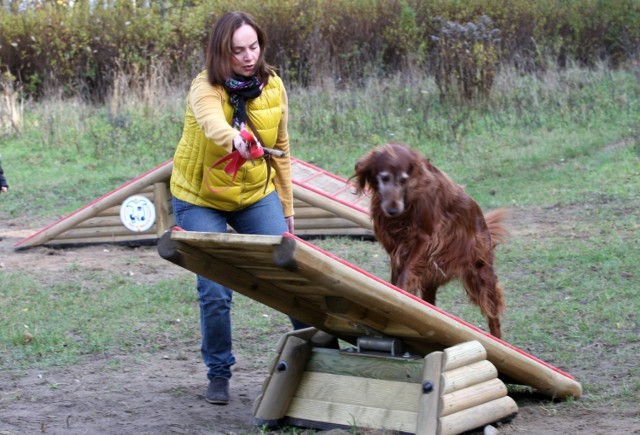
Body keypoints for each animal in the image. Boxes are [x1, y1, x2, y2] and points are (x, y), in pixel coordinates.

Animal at [352, 145, 508, 338]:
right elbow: (397, 273)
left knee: (492, 312)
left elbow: (406, 273)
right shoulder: (395, 248)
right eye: (384, 178)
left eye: (404, 180)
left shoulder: (426, 239)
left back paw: (497, 337)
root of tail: (481, 217)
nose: (393, 210)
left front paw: (401, 291)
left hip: (480, 274)